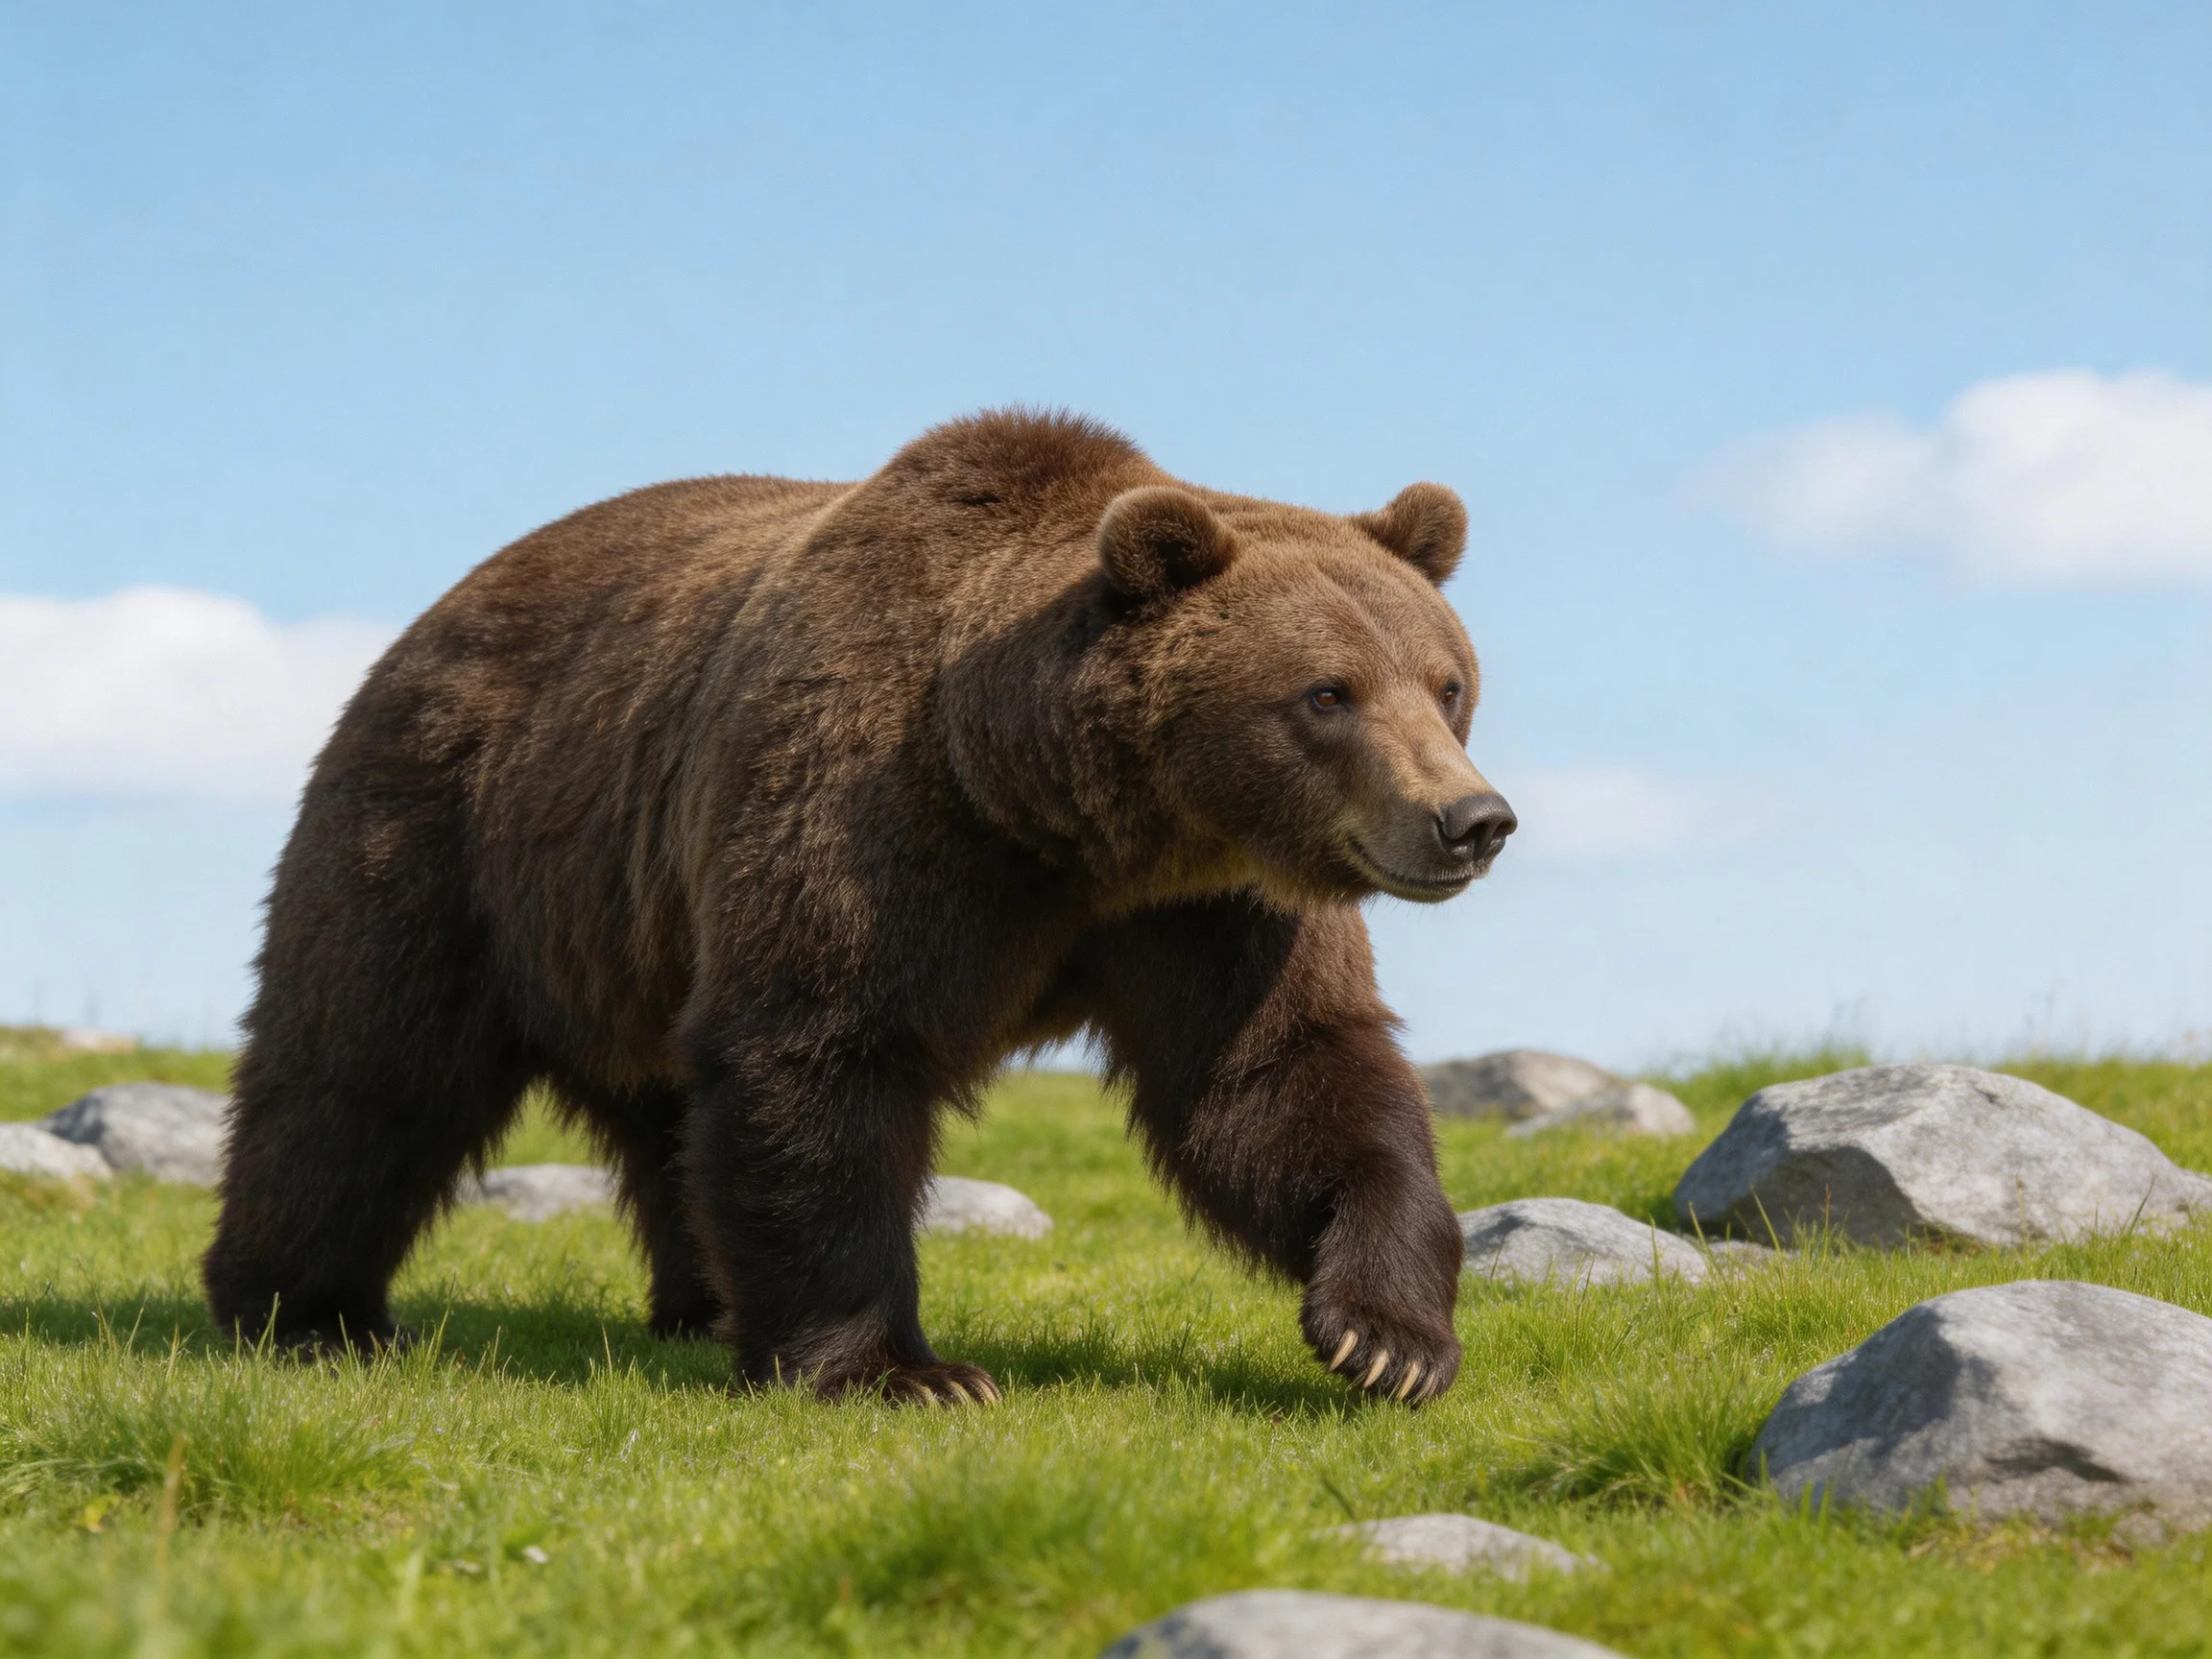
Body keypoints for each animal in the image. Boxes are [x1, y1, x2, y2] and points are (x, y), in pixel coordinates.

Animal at [202, 409, 1516, 1407]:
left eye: (1447, 683)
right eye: (1327, 693)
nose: (1472, 818)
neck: (1066, 819)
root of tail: (439, 609)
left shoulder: (1209, 912)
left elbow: (1279, 1078)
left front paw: (1386, 1337)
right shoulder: (871, 815)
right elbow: (823, 1053)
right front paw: (903, 1371)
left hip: (629, 931)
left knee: (664, 1117)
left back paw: (698, 1306)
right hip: (449, 832)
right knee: (362, 1070)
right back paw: (300, 1310)